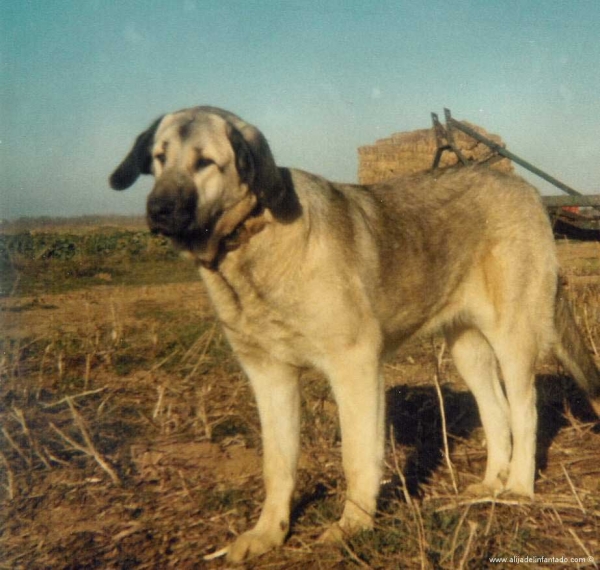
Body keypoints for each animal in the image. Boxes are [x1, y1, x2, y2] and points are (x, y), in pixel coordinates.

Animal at [108, 105, 600, 560]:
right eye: (158, 159)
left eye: (206, 162)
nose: (157, 210)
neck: (252, 241)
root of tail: (526, 189)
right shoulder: (269, 378)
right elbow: (277, 464)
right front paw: (269, 533)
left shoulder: (355, 366)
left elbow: (357, 458)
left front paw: (353, 526)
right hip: (467, 348)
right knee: (495, 410)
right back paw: (490, 482)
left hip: (512, 336)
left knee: (524, 409)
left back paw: (518, 487)